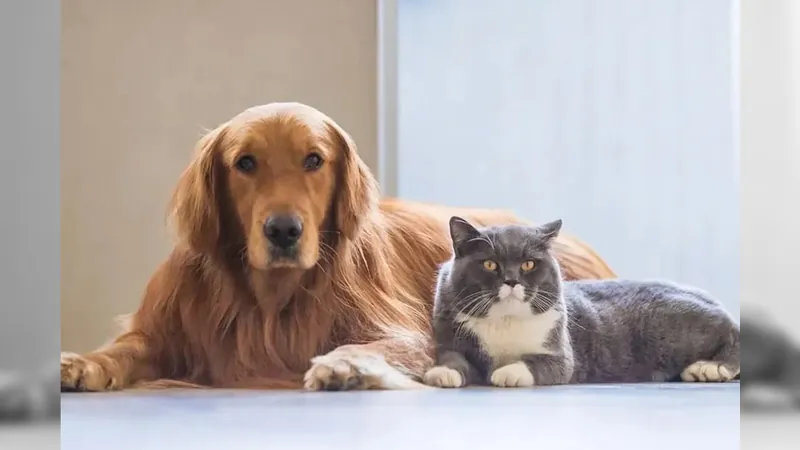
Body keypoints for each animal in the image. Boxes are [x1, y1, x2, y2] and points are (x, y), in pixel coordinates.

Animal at [59, 102, 616, 390]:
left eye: (314, 160)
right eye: (244, 163)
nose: (283, 230)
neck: (271, 300)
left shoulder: (405, 331)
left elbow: (370, 344)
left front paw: (343, 365)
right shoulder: (165, 329)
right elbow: (124, 348)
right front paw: (82, 364)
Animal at [422, 217, 740, 386]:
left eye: (528, 264)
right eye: (489, 264)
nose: (511, 280)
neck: (505, 320)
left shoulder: (561, 352)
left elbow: (541, 362)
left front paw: (509, 372)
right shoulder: (450, 335)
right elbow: (453, 357)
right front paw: (443, 373)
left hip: (672, 329)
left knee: (732, 334)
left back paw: (709, 368)